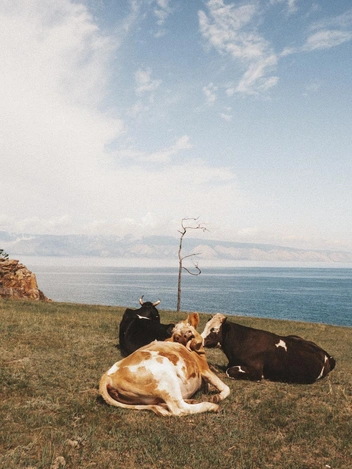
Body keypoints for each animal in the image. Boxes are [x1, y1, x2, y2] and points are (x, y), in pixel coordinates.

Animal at [99, 312, 231, 414]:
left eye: (189, 325)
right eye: (175, 334)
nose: (186, 333)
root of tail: (107, 376)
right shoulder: (204, 369)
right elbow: (226, 388)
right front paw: (216, 397)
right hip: (166, 378)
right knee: (179, 408)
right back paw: (212, 406)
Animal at [201, 312, 336, 382]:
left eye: (214, 329)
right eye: (206, 325)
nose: (199, 340)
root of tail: (327, 355)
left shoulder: (257, 372)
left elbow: (229, 371)